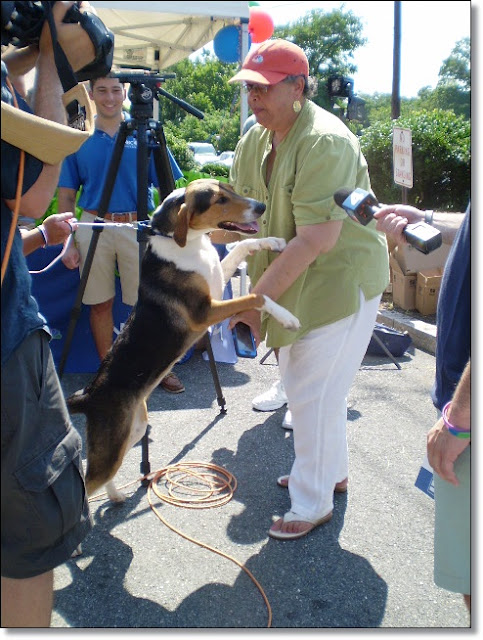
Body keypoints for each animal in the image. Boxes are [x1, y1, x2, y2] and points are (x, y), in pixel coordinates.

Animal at [67, 179, 300, 502]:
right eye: (218, 200)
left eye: (229, 189)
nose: (261, 207)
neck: (188, 242)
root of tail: (88, 396)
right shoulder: (205, 312)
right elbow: (257, 296)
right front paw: (287, 317)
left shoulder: (217, 283)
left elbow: (243, 245)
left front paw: (275, 242)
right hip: (113, 441)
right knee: (88, 484)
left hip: (133, 430)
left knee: (104, 476)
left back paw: (115, 497)